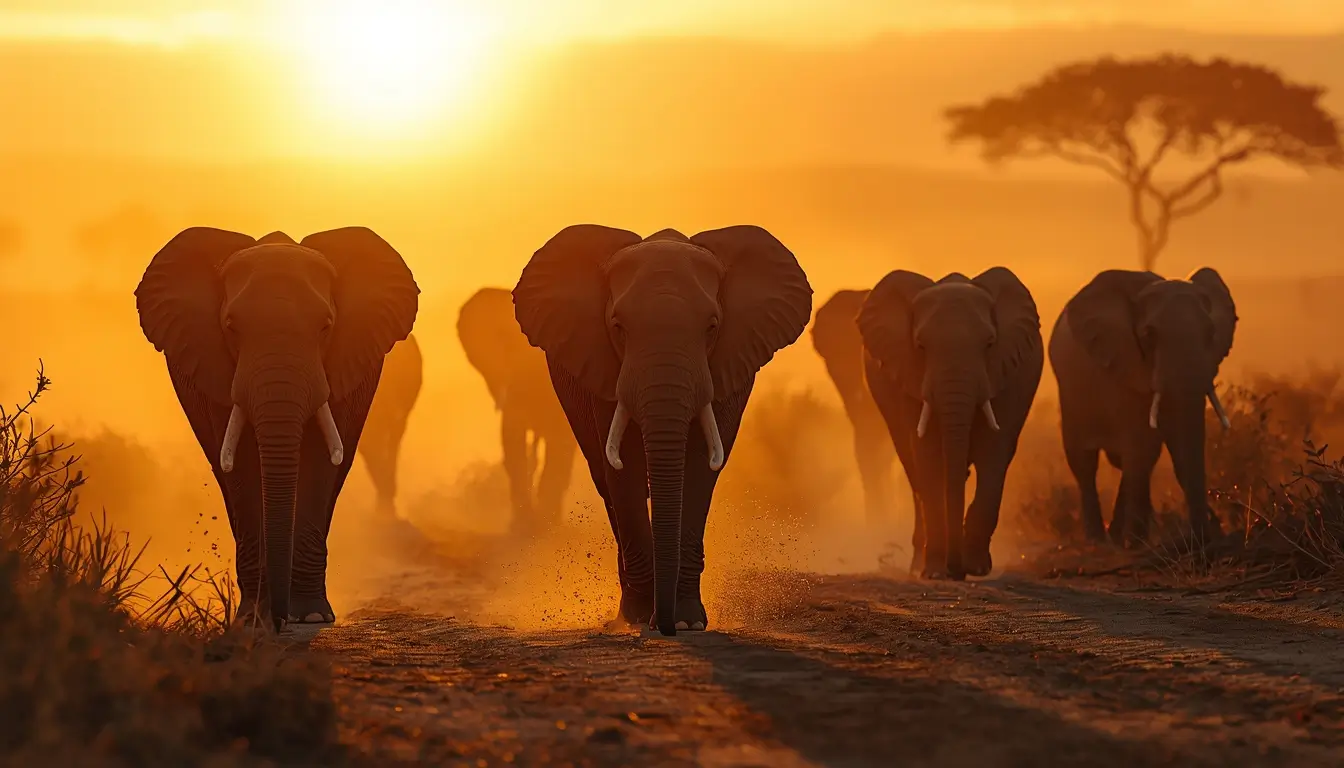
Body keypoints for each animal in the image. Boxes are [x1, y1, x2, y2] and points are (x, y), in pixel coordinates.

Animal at [513, 225, 812, 635]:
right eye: (618, 328)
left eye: (712, 327)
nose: (664, 625)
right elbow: (625, 470)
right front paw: (641, 618)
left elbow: (699, 468)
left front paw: (687, 623)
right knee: (607, 485)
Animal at [857, 268, 1043, 579]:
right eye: (921, 346)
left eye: (989, 344)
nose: (957, 571)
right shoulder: (910, 377)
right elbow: (928, 457)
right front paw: (934, 572)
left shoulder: (1008, 376)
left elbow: (994, 454)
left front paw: (977, 568)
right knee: (913, 471)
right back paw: (918, 565)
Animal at [1049, 269, 1236, 546]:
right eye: (1149, 335)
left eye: (1211, 332)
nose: (1206, 535)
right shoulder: (1122, 366)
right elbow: (1141, 447)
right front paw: (1134, 544)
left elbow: (1169, 449)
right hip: (1070, 394)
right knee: (1085, 461)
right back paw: (1099, 542)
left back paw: (1117, 537)